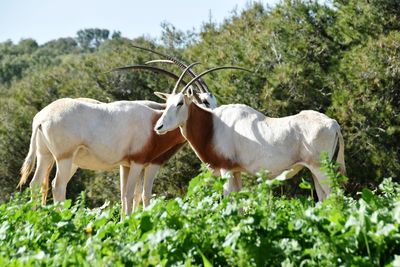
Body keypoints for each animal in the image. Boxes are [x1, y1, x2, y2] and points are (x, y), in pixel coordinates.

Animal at [155, 68, 346, 200]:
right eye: (166, 103)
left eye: (180, 103)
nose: (158, 127)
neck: (212, 125)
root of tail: (333, 124)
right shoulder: (236, 171)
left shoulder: (226, 170)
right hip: (316, 171)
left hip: (320, 169)